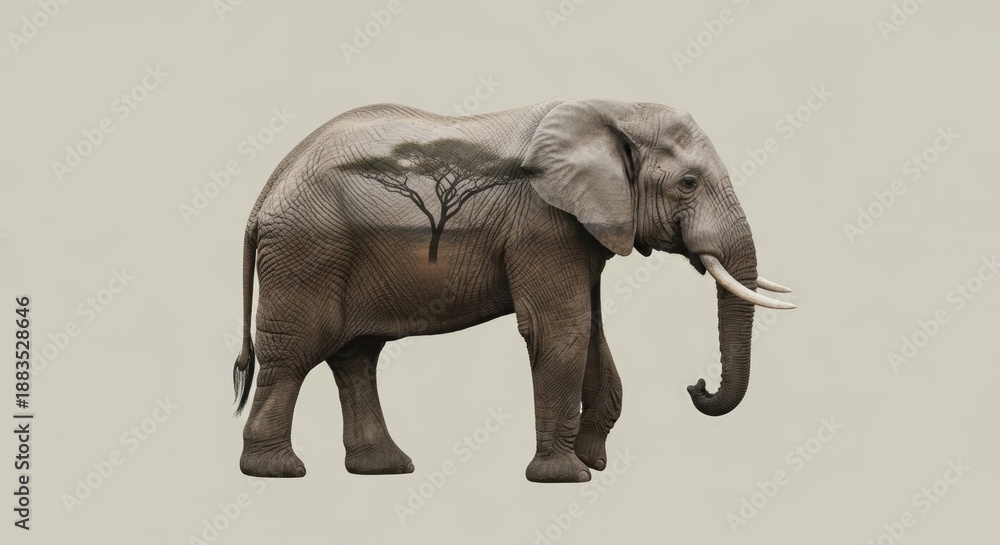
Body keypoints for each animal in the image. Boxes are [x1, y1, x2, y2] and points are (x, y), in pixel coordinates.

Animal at [231, 98, 795, 483]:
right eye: (688, 184)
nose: (696, 386)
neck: (612, 110)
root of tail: (266, 191)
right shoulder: (543, 225)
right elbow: (562, 330)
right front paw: (568, 477)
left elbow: (592, 332)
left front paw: (593, 464)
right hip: (307, 250)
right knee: (295, 353)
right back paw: (278, 471)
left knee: (356, 355)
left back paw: (385, 468)